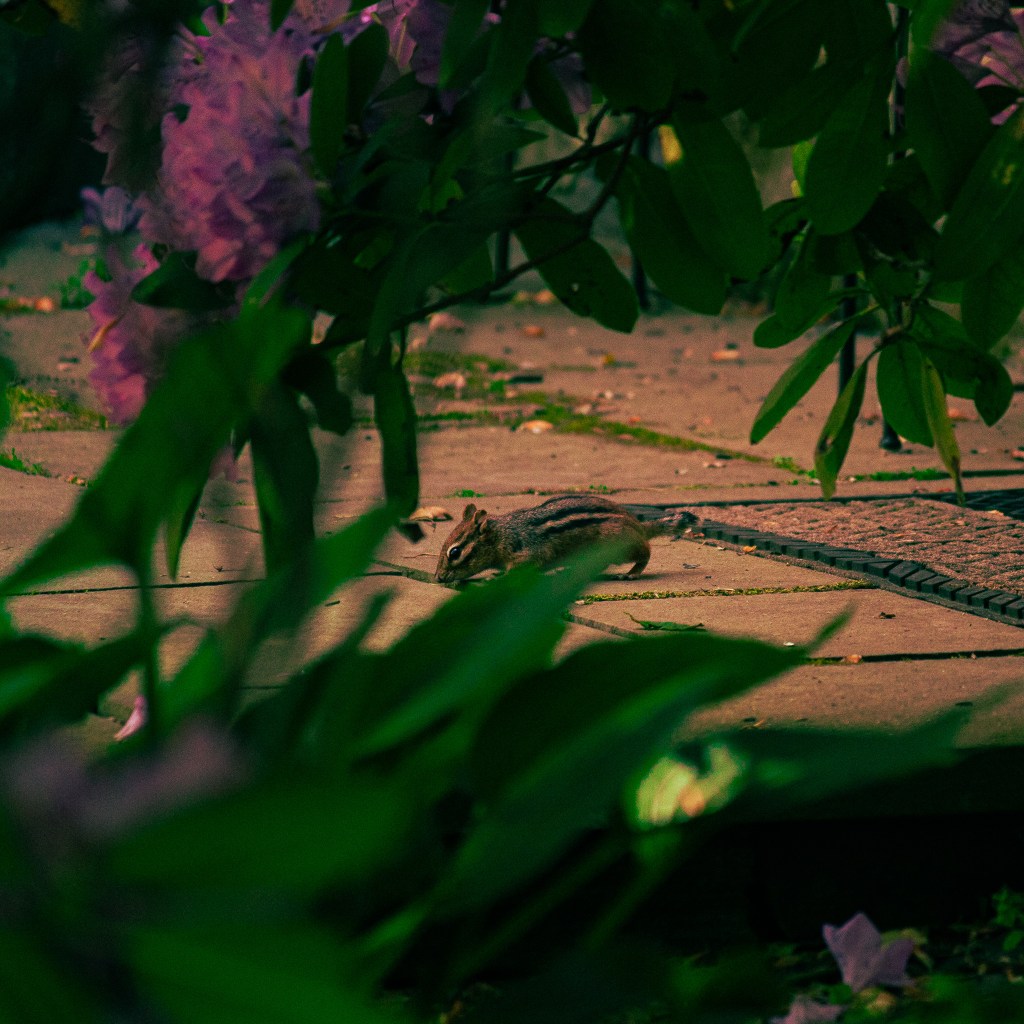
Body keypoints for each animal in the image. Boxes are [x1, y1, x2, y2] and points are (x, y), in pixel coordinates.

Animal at [434, 495, 698, 583]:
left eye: (454, 552)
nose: (437, 578)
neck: (504, 534)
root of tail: (638, 525)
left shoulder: (528, 554)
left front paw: (495, 579)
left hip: (620, 545)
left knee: (646, 552)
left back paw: (631, 573)